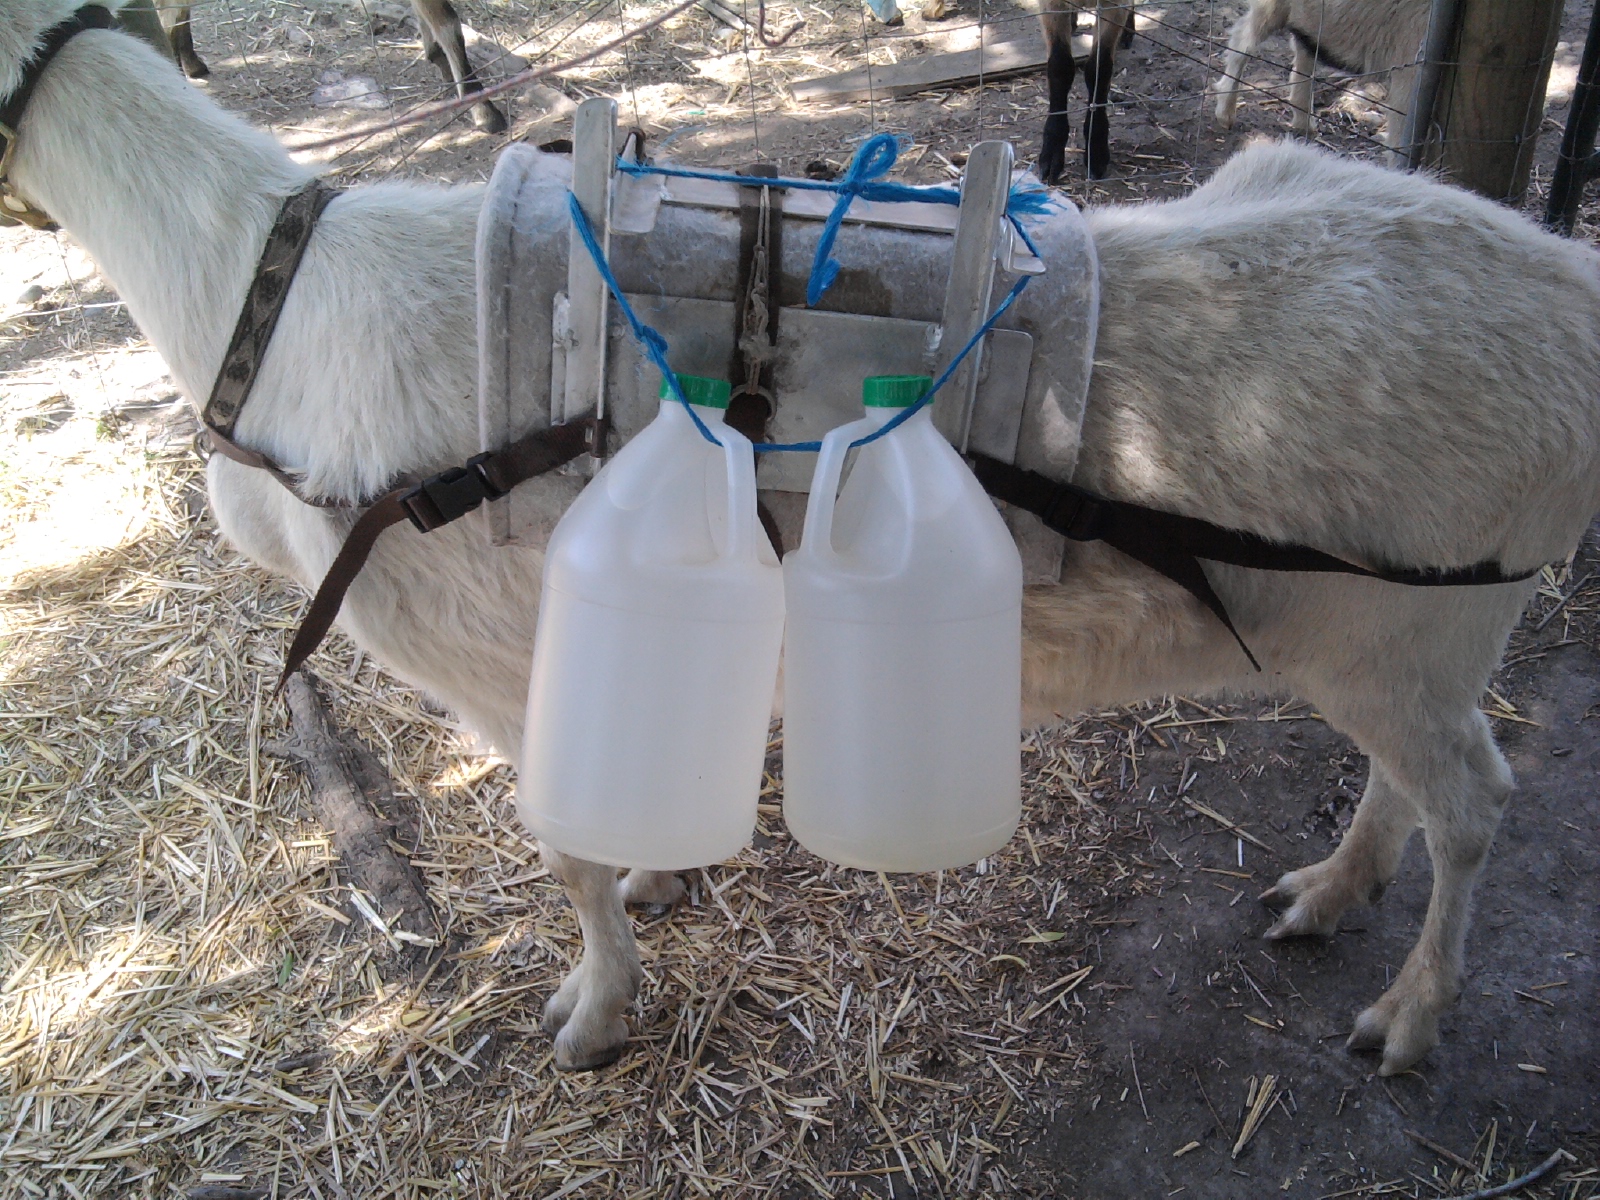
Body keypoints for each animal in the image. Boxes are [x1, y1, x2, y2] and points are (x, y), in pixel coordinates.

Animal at [1037, 2, 1136, 182]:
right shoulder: (1051, 5)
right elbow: (1059, 65)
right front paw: (1051, 157)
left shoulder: (1114, 6)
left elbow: (1099, 68)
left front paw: (1096, 154)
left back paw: (1128, 31)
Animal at [1212, 0, 1429, 160]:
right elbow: (1401, 143)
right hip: (1273, 6)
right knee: (1244, 39)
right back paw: (1225, 111)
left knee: (1304, 45)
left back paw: (1303, 122)